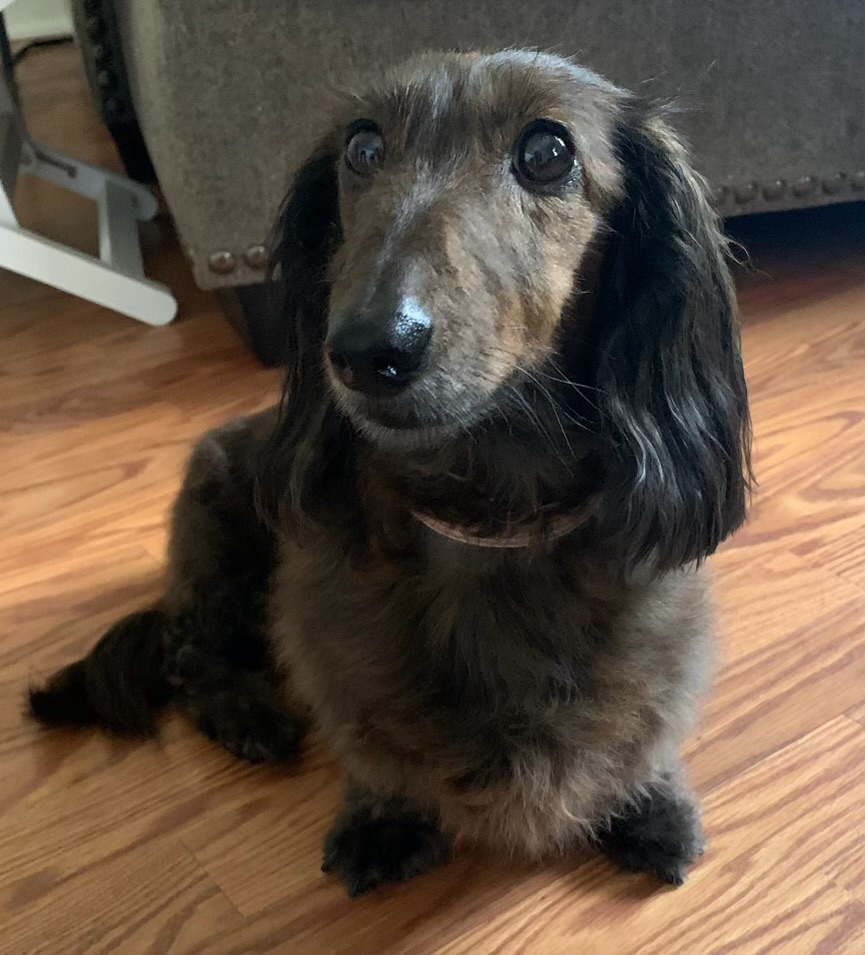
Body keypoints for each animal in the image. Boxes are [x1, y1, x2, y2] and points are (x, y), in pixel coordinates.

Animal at [28, 52, 748, 900]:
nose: (369, 350)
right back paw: (246, 713)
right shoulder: (333, 645)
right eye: (362, 148)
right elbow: (374, 746)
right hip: (214, 535)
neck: (484, 519)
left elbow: (640, 732)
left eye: (547, 153)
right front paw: (383, 818)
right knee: (189, 652)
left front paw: (645, 800)